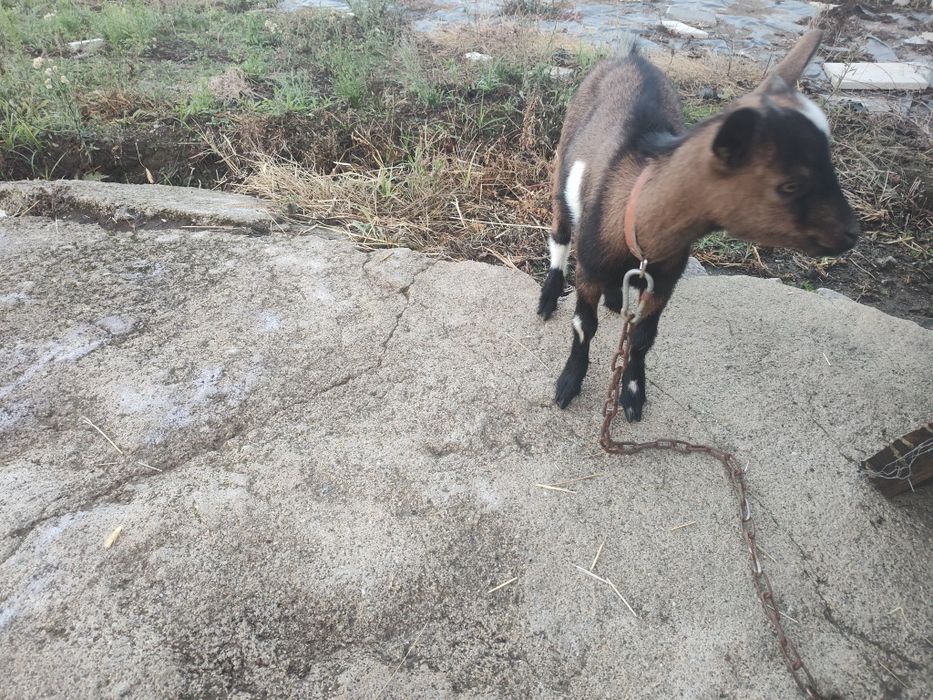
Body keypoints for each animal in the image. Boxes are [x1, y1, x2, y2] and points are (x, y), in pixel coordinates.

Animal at [538, 30, 858, 419]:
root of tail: (631, 57)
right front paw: (568, 384)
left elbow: (643, 338)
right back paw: (548, 297)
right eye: (790, 185)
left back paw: (614, 299)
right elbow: (584, 326)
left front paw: (633, 394)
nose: (850, 234)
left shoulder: (665, 279)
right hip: (563, 162)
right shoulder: (590, 268)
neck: (638, 226)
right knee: (560, 233)